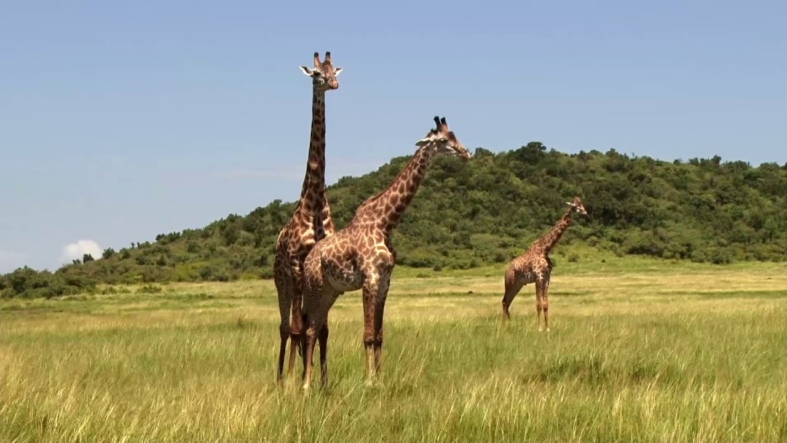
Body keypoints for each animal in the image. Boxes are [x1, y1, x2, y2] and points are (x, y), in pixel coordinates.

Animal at [298, 116, 472, 391]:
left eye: (455, 135)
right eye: (444, 141)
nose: (466, 153)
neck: (385, 223)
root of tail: (307, 260)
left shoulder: (384, 282)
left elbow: (379, 335)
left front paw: (380, 379)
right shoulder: (370, 278)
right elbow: (368, 335)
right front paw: (369, 381)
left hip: (330, 292)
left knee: (314, 329)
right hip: (315, 288)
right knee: (310, 330)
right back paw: (305, 386)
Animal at [501, 196, 587, 331]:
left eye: (582, 204)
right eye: (576, 206)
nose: (585, 212)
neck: (545, 248)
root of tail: (506, 269)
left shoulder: (547, 278)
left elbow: (546, 304)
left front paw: (547, 328)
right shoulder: (539, 277)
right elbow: (538, 305)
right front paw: (539, 328)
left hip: (518, 284)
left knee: (507, 302)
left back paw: (508, 326)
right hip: (509, 282)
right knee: (505, 301)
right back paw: (502, 327)